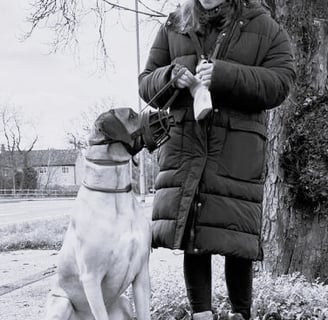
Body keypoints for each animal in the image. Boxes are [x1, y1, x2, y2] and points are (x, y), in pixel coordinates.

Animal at [45, 107, 152, 320]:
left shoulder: (141, 273)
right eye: (132, 115)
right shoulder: (91, 278)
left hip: (124, 302)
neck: (116, 195)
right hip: (61, 304)